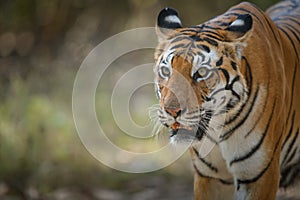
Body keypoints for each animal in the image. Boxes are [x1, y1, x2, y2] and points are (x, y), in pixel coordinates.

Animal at [154, 0, 298, 199]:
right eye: (166, 71)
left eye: (201, 73)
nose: (172, 111)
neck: (218, 128)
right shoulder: (211, 177)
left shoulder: (259, 176)